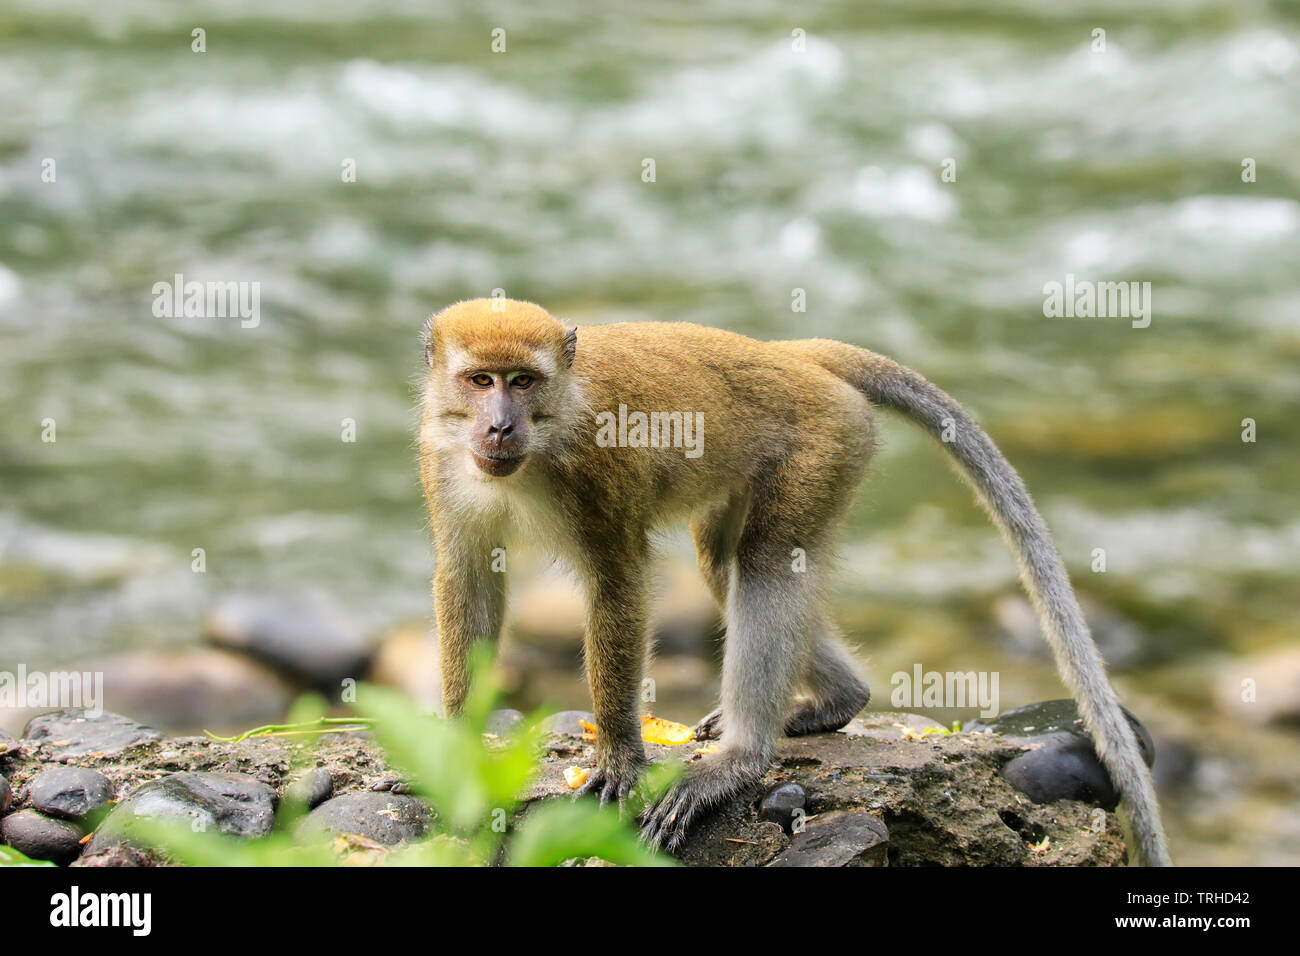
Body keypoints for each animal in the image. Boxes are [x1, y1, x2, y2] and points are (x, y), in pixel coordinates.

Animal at [418, 297, 1171, 866]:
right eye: (481, 382)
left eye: (523, 380)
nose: (499, 426)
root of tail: (793, 355)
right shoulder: (440, 456)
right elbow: (468, 578)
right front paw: (457, 748)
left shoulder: (599, 470)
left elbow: (619, 581)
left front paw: (620, 756)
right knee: (724, 562)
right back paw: (841, 699)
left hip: (824, 445)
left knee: (767, 565)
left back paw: (740, 759)